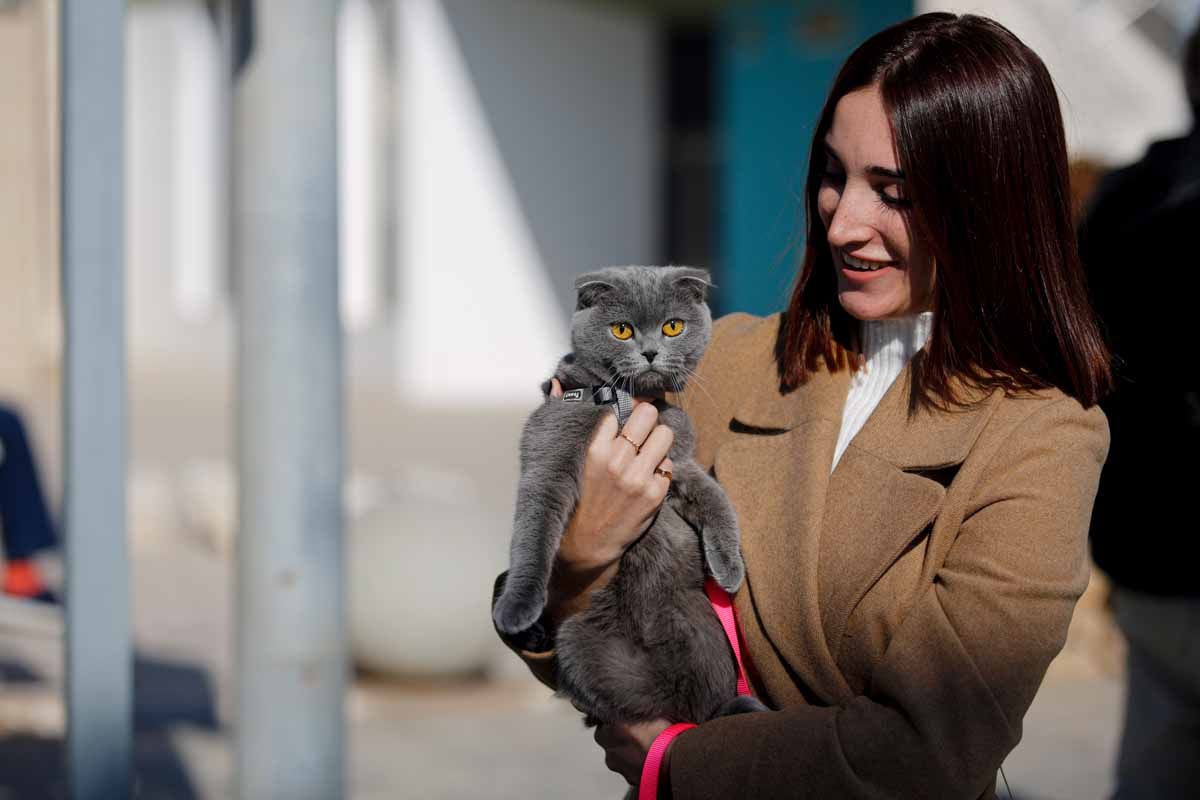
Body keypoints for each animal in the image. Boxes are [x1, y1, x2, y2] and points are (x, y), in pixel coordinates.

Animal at [492, 267, 763, 724]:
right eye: (621, 330)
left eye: (672, 327)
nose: (651, 352)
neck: (623, 402)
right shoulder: (550, 451)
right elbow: (536, 527)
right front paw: (517, 607)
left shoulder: (676, 457)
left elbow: (714, 498)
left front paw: (728, 568)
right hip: (578, 639)